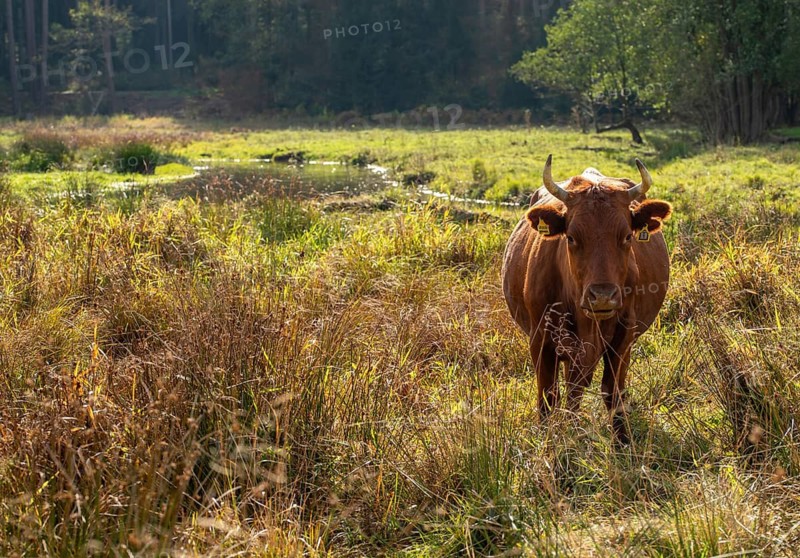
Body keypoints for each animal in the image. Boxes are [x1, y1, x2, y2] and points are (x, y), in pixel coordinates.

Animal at [502, 155, 672, 443]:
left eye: (627, 236)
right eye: (571, 237)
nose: (602, 296)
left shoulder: (622, 338)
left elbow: (611, 392)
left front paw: (622, 441)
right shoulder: (540, 340)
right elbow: (548, 396)